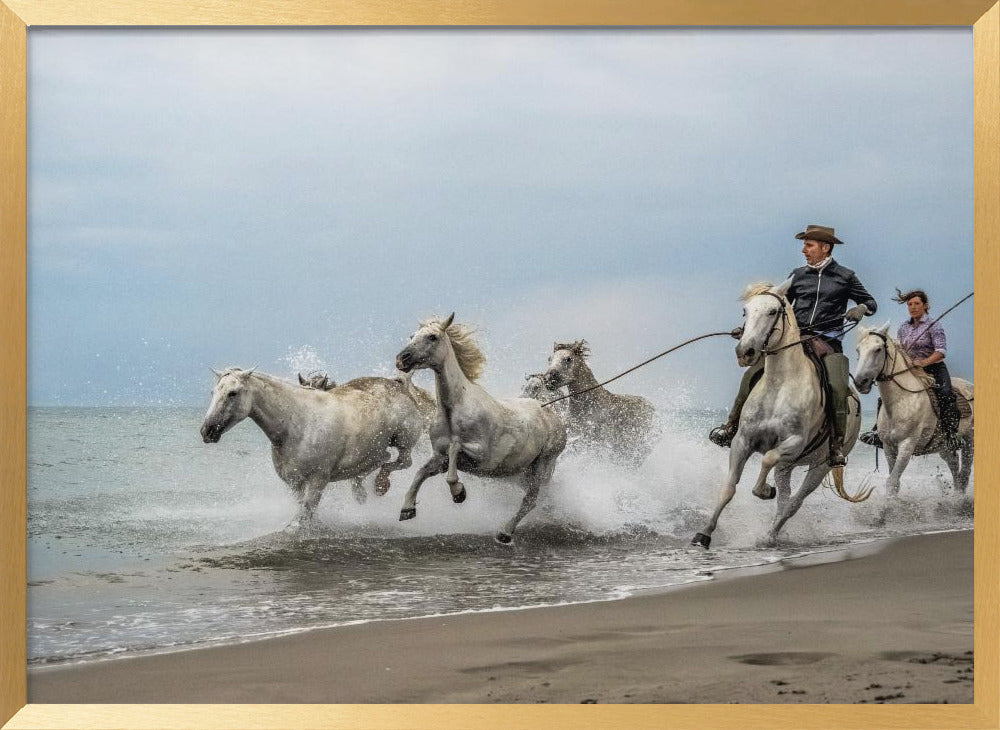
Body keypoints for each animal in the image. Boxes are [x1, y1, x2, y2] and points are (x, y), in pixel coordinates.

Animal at [200, 367, 430, 530]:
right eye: (213, 392)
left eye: (232, 393)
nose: (207, 431)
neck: (298, 424)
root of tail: (397, 385)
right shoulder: (294, 483)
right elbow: (305, 512)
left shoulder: (317, 480)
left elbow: (302, 517)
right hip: (373, 449)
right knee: (380, 460)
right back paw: (363, 491)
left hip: (404, 440)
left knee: (403, 461)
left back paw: (381, 486)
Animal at [395, 314, 567, 544]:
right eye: (412, 336)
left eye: (432, 337)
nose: (401, 359)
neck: (454, 411)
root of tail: (552, 413)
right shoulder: (439, 457)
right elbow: (420, 473)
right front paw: (407, 509)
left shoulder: (483, 457)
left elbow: (455, 449)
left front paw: (458, 492)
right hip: (522, 473)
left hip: (543, 465)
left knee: (530, 501)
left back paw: (505, 533)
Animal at [853, 323, 974, 497]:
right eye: (858, 350)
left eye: (878, 349)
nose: (860, 382)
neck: (903, 400)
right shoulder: (889, 447)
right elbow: (894, 482)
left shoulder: (907, 445)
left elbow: (892, 482)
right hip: (944, 447)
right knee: (954, 467)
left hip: (969, 441)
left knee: (965, 472)